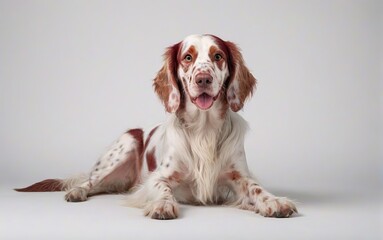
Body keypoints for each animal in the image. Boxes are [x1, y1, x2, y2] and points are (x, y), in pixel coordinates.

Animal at [16, 33, 298, 219]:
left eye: (218, 56)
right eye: (187, 57)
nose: (203, 79)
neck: (204, 130)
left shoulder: (238, 177)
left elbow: (256, 188)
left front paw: (274, 201)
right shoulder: (158, 177)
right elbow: (162, 189)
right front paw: (163, 205)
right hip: (125, 145)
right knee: (90, 181)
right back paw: (76, 191)